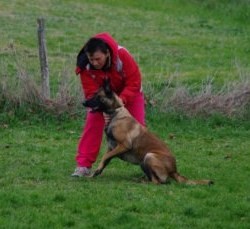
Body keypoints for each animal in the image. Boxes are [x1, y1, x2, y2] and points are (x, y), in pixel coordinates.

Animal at [83, 79, 213, 185]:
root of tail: (175, 170)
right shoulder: (111, 147)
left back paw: (143, 182)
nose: (83, 102)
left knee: (158, 182)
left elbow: (105, 156)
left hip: (149, 156)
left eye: (97, 96)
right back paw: (141, 180)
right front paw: (95, 173)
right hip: (143, 161)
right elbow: (105, 160)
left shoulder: (123, 145)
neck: (116, 112)